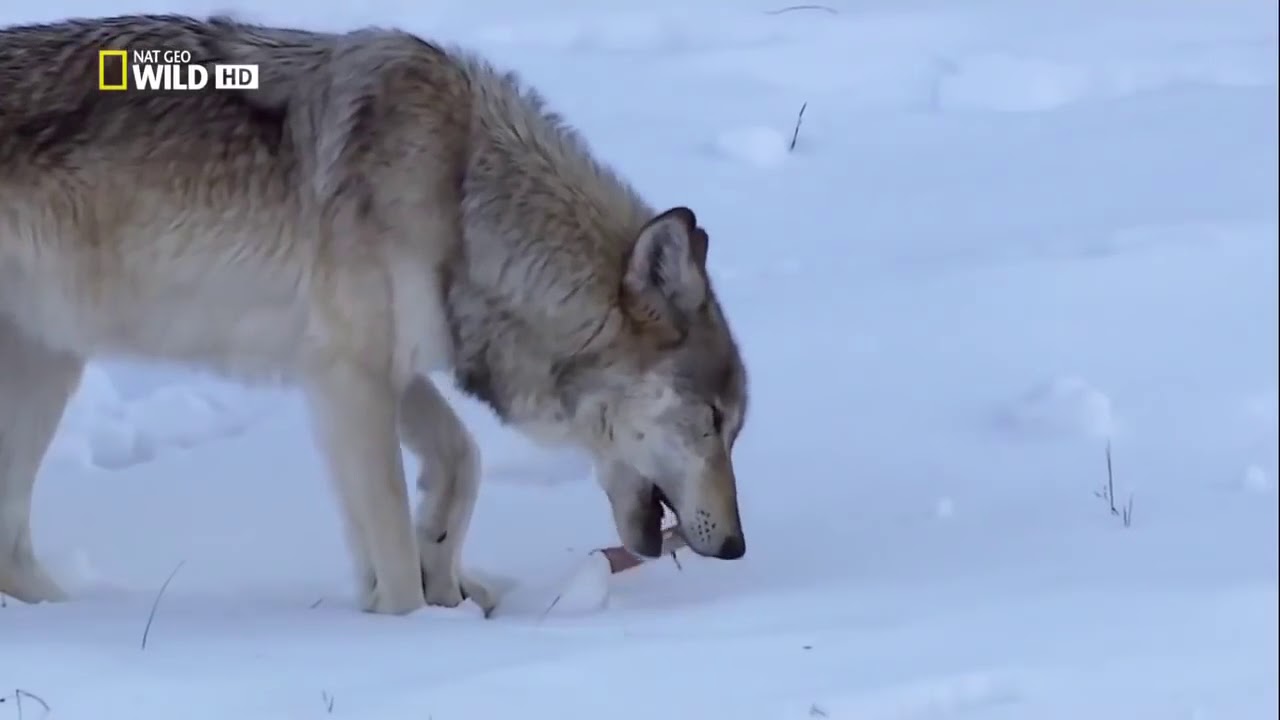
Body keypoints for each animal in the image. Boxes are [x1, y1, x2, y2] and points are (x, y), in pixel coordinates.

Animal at [0, 14, 749, 614]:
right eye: (713, 421)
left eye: (735, 429)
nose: (738, 548)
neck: (460, 199)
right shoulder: (350, 377)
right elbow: (389, 531)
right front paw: (407, 630)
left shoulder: (372, 366)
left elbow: (461, 456)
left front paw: (441, 573)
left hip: (48, 366)